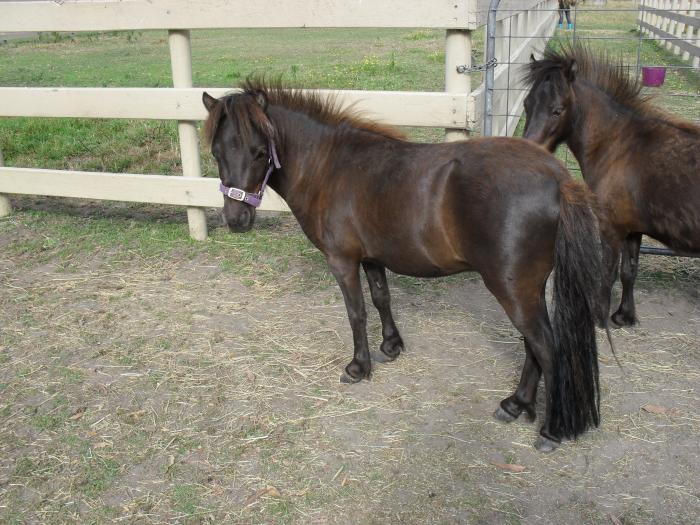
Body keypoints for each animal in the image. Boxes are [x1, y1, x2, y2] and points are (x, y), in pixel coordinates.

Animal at [202, 78, 606, 451]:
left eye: (259, 153)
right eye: (217, 152)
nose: (236, 219)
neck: (331, 166)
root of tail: (558, 179)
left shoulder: (342, 261)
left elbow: (357, 312)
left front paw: (358, 367)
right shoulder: (371, 259)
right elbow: (382, 299)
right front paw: (391, 346)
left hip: (513, 289)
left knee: (545, 347)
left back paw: (551, 429)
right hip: (526, 290)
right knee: (532, 345)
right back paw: (516, 404)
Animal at [523, 42, 700, 327]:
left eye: (557, 110)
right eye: (527, 104)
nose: (529, 151)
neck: (619, 147)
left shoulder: (611, 229)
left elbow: (608, 273)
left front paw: (599, 317)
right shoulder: (632, 229)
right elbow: (629, 271)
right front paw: (624, 316)